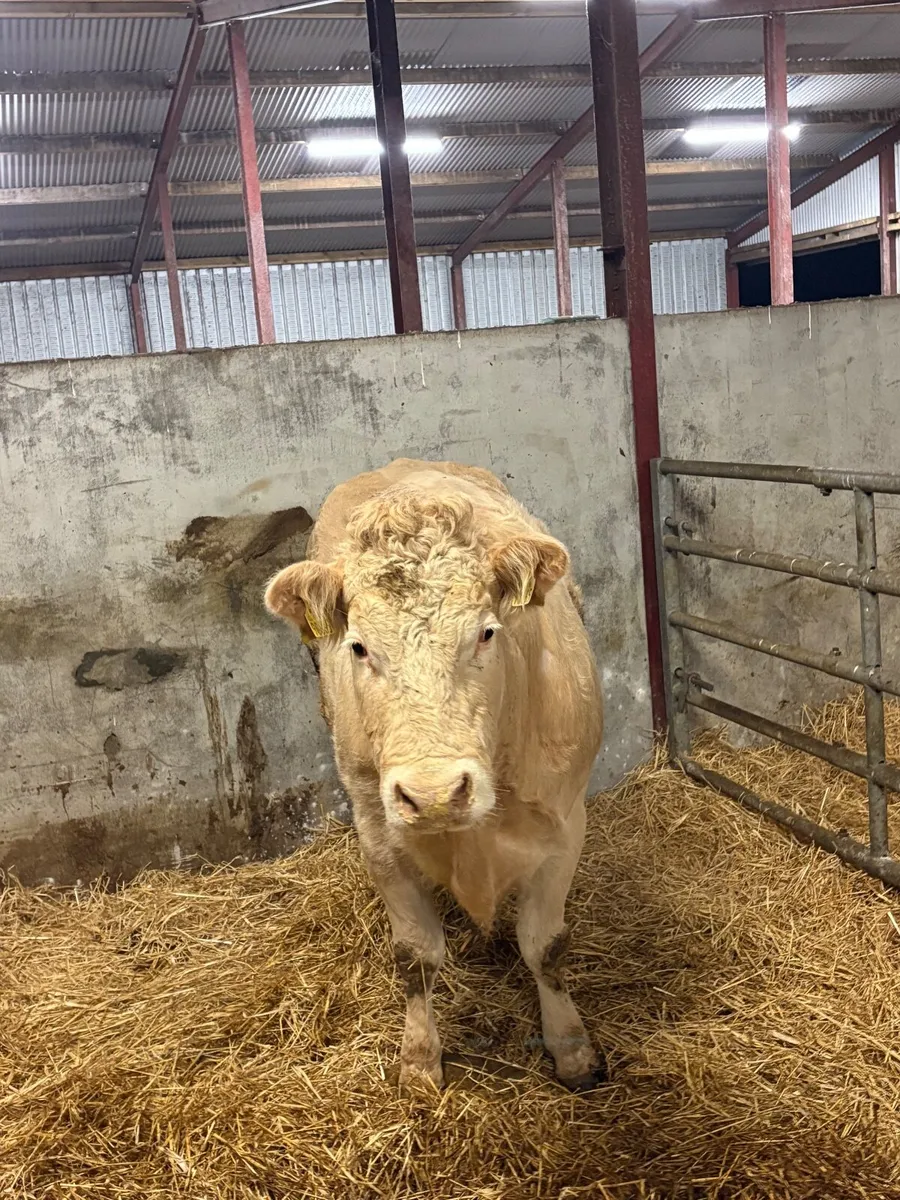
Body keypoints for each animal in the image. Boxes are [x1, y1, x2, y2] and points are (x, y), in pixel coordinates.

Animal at [265, 459, 604, 1091]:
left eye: (487, 632)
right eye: (358, 647)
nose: (435, 795)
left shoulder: (566, 822)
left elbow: (545, 945)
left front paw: (571, 1047)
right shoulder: (378, 833)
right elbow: (416, 955)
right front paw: (420, 1059)